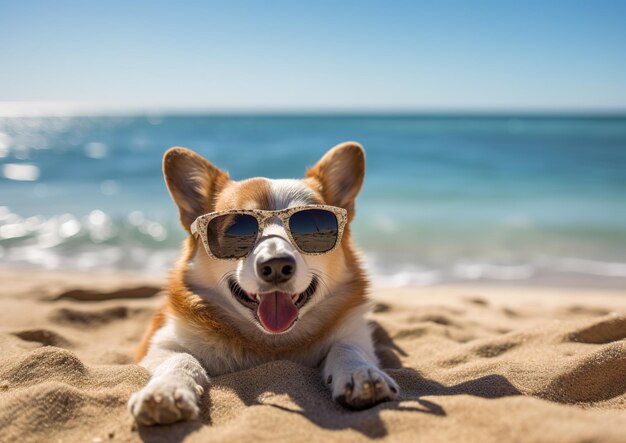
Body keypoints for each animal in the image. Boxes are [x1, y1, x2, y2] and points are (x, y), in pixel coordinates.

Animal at [129, 142, 398, 426]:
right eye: (234, 230)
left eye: (309, 226)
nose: (276, 266)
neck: (271, 344)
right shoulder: (159, 346)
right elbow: (181, 358)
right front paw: (165, 391)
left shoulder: (355, 334)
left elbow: (346, 347)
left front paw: (362, 374)